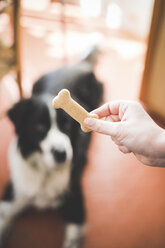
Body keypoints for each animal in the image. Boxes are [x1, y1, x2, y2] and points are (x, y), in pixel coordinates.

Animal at [0, 47, 103, 247]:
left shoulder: (75, 204)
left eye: (68, 126)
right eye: (39, 127)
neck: (45, 173)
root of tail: (78, 65)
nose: (61, 154)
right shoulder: (13, 193)